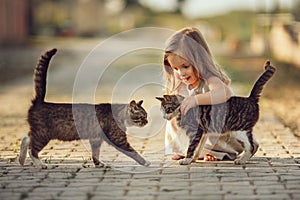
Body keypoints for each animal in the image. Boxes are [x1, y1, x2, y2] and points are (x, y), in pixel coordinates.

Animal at [19, 48, 150, 169]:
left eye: (146, 116)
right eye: (141, 117)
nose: (147, 122)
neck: (119, 114)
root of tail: (39, 101)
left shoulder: (96, 139)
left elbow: (95, 153)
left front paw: (99, 164)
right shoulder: (118, 138)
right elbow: (132, 151)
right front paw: (145, 162)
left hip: (38, 132)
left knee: (26, 138)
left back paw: (21, 160)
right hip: (43, 133)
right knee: (32, 149)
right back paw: (40, 164)